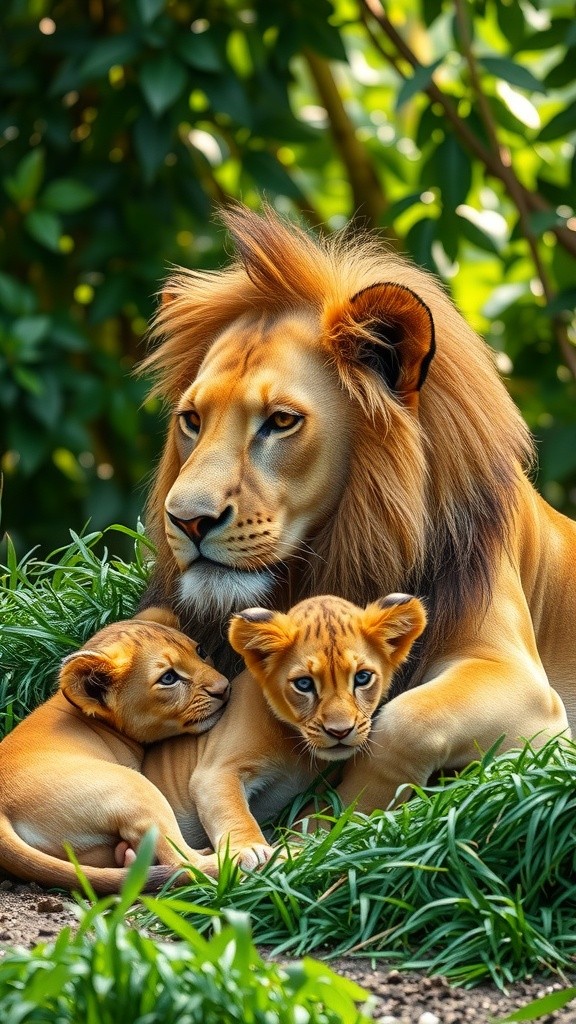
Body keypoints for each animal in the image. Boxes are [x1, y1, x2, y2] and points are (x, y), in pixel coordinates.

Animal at [138, 203, 576, 813]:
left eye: (280, 420)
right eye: (192, 420)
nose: (187, 520)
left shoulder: (529, 690)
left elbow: (404, 720)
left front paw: (334, 819)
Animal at [143, 594, 426, 869]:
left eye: (362, 678)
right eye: (304, 684)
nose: (340, 731)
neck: (297, 748)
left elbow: (314, 817)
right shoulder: (216, 771)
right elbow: (233, 811)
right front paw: (250, 849)